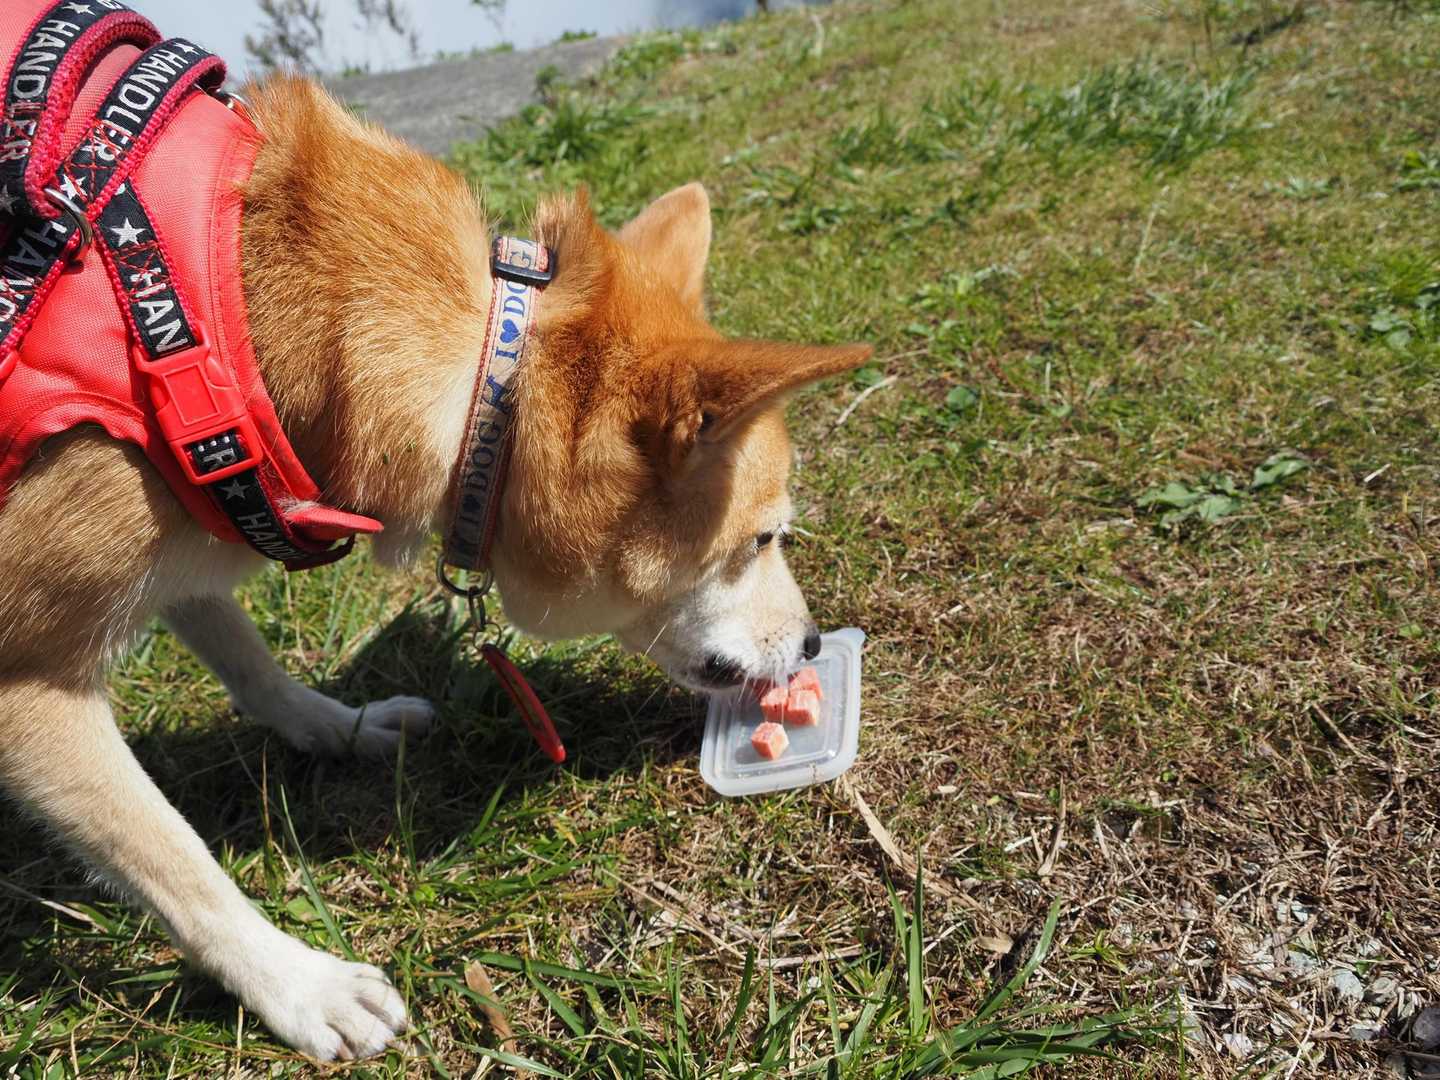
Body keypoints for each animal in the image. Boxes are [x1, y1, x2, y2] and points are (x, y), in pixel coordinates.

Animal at [0, 70, 870, 1059]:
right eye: (763, 539)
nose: (814, 646)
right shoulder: (28, 680)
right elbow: (175, 859)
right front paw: (300, 984)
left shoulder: (203, 517)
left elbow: (253, 667)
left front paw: (341, 727)